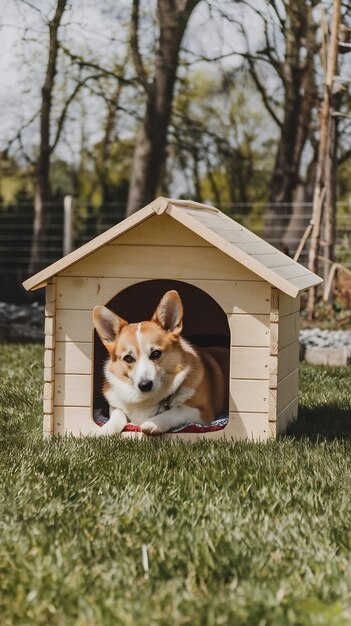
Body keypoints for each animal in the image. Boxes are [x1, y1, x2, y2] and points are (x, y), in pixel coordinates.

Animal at [91, 292, 228, 434]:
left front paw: (153, 423)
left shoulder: (203, 412)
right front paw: (104, 430)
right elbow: (118, 413)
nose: (145, 385)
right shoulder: (114, 405)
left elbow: (177, 410)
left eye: (156, 353)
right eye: (128, 358)